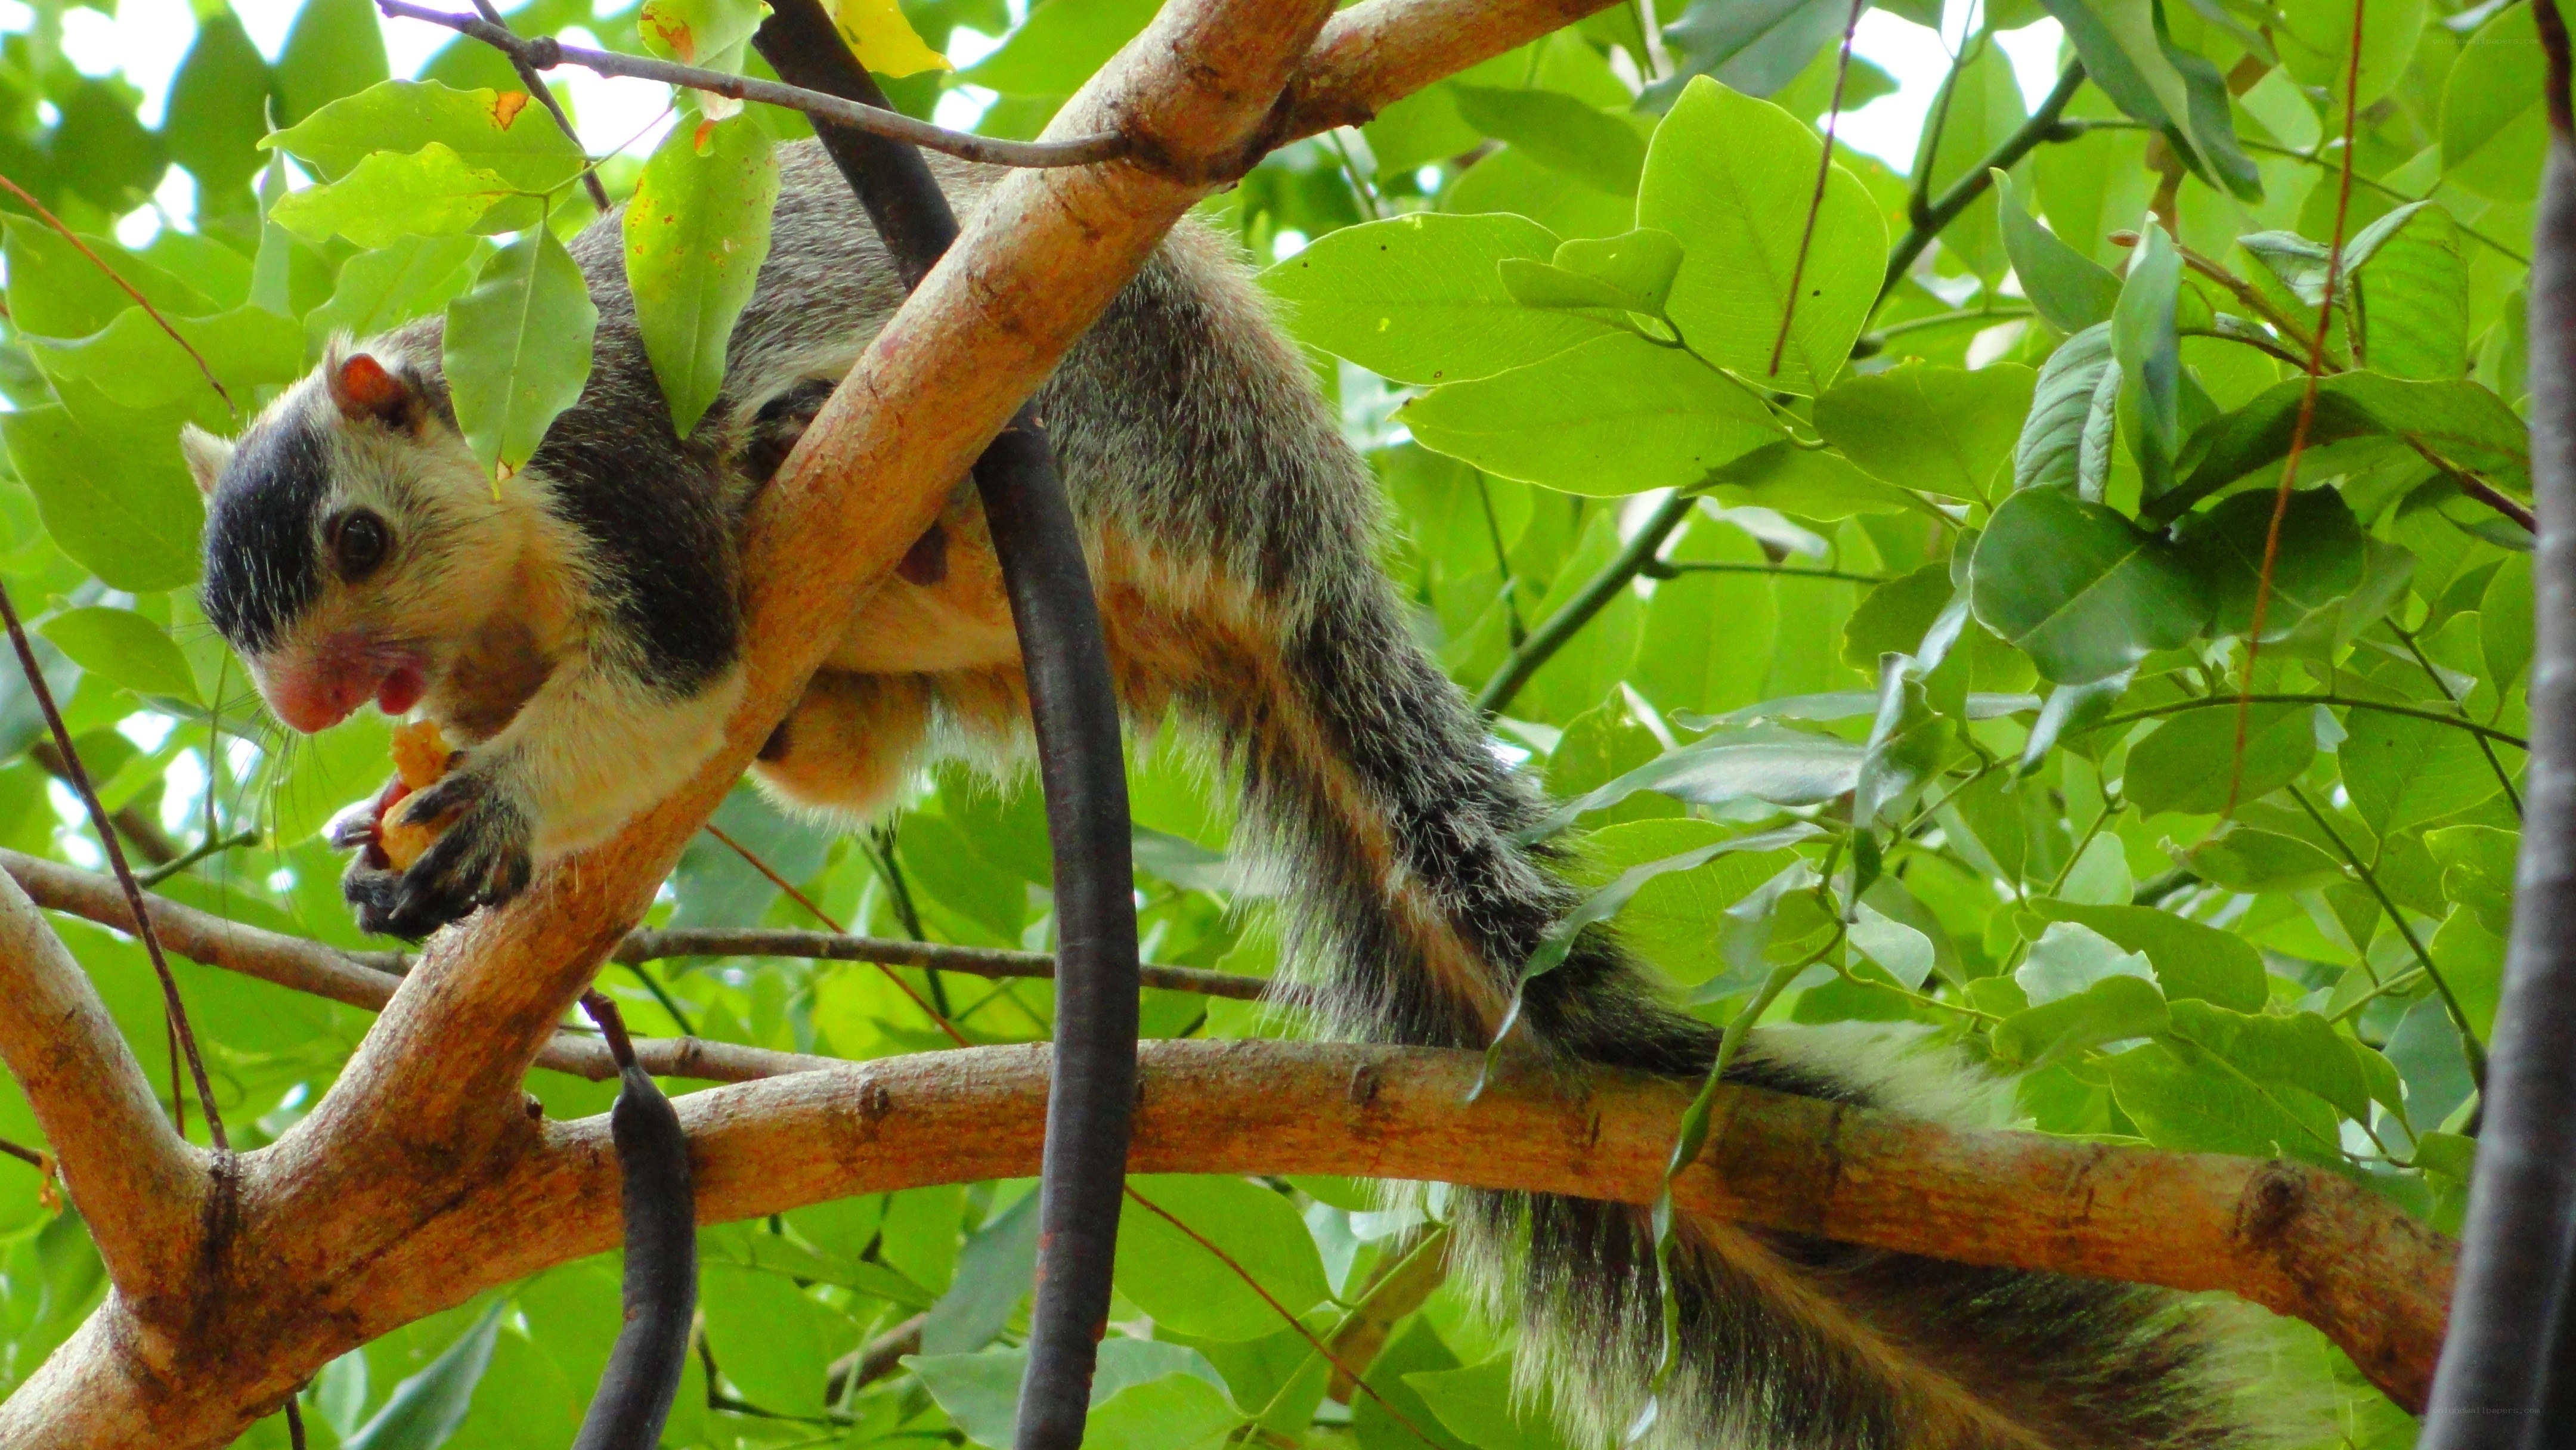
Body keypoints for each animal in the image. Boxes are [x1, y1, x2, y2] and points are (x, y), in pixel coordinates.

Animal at [187, 140, 2277, 1448]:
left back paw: (814, 430)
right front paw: (407, 808)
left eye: (354, 538)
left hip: (1095, 400)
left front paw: (483, 815)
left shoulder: (602, 449)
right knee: (846, 752)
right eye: (234, 621)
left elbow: (673, 669)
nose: (311, 700)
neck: (504, 578)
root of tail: (1293, 556)